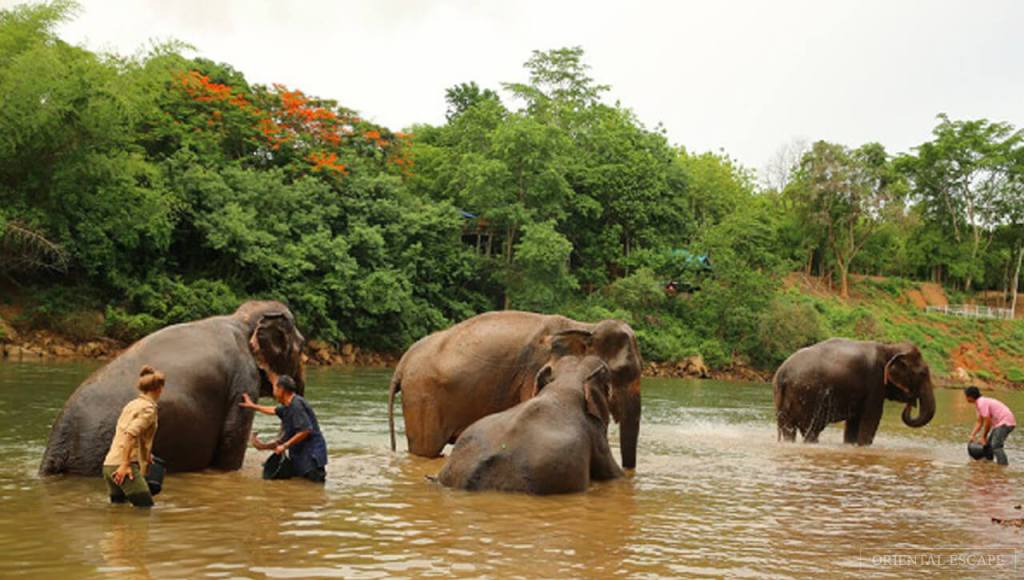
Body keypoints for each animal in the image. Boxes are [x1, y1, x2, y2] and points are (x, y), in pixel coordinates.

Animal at [387, 311, 643, 469]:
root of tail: (402, 364)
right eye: (621, 372)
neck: (583, 327)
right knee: (426, 449)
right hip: (423, 397)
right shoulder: (535, 372)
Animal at [773, 338, 936, 445]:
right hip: (808, 396)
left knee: (788, 430)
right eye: (923, 374)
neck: (889, 348)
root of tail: (783, 374)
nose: (911, 402)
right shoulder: (874, 382)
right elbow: (871, 419)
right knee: (811, 431)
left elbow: (853, 423)